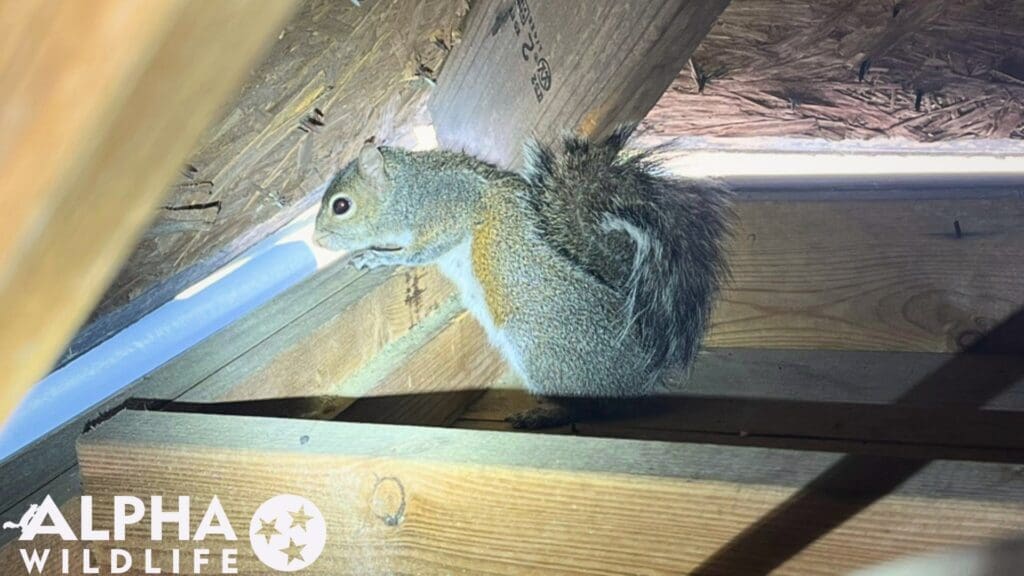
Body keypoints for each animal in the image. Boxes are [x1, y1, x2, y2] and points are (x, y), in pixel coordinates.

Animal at [313, 127, 733, 429]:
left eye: (341, 205)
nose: (317, 239)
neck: (408, 189)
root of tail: (643, 375)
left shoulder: (451, 207)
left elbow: (423, 250)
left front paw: (375, 257)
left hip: (537, 348)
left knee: (591, 409)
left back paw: (544, 415)